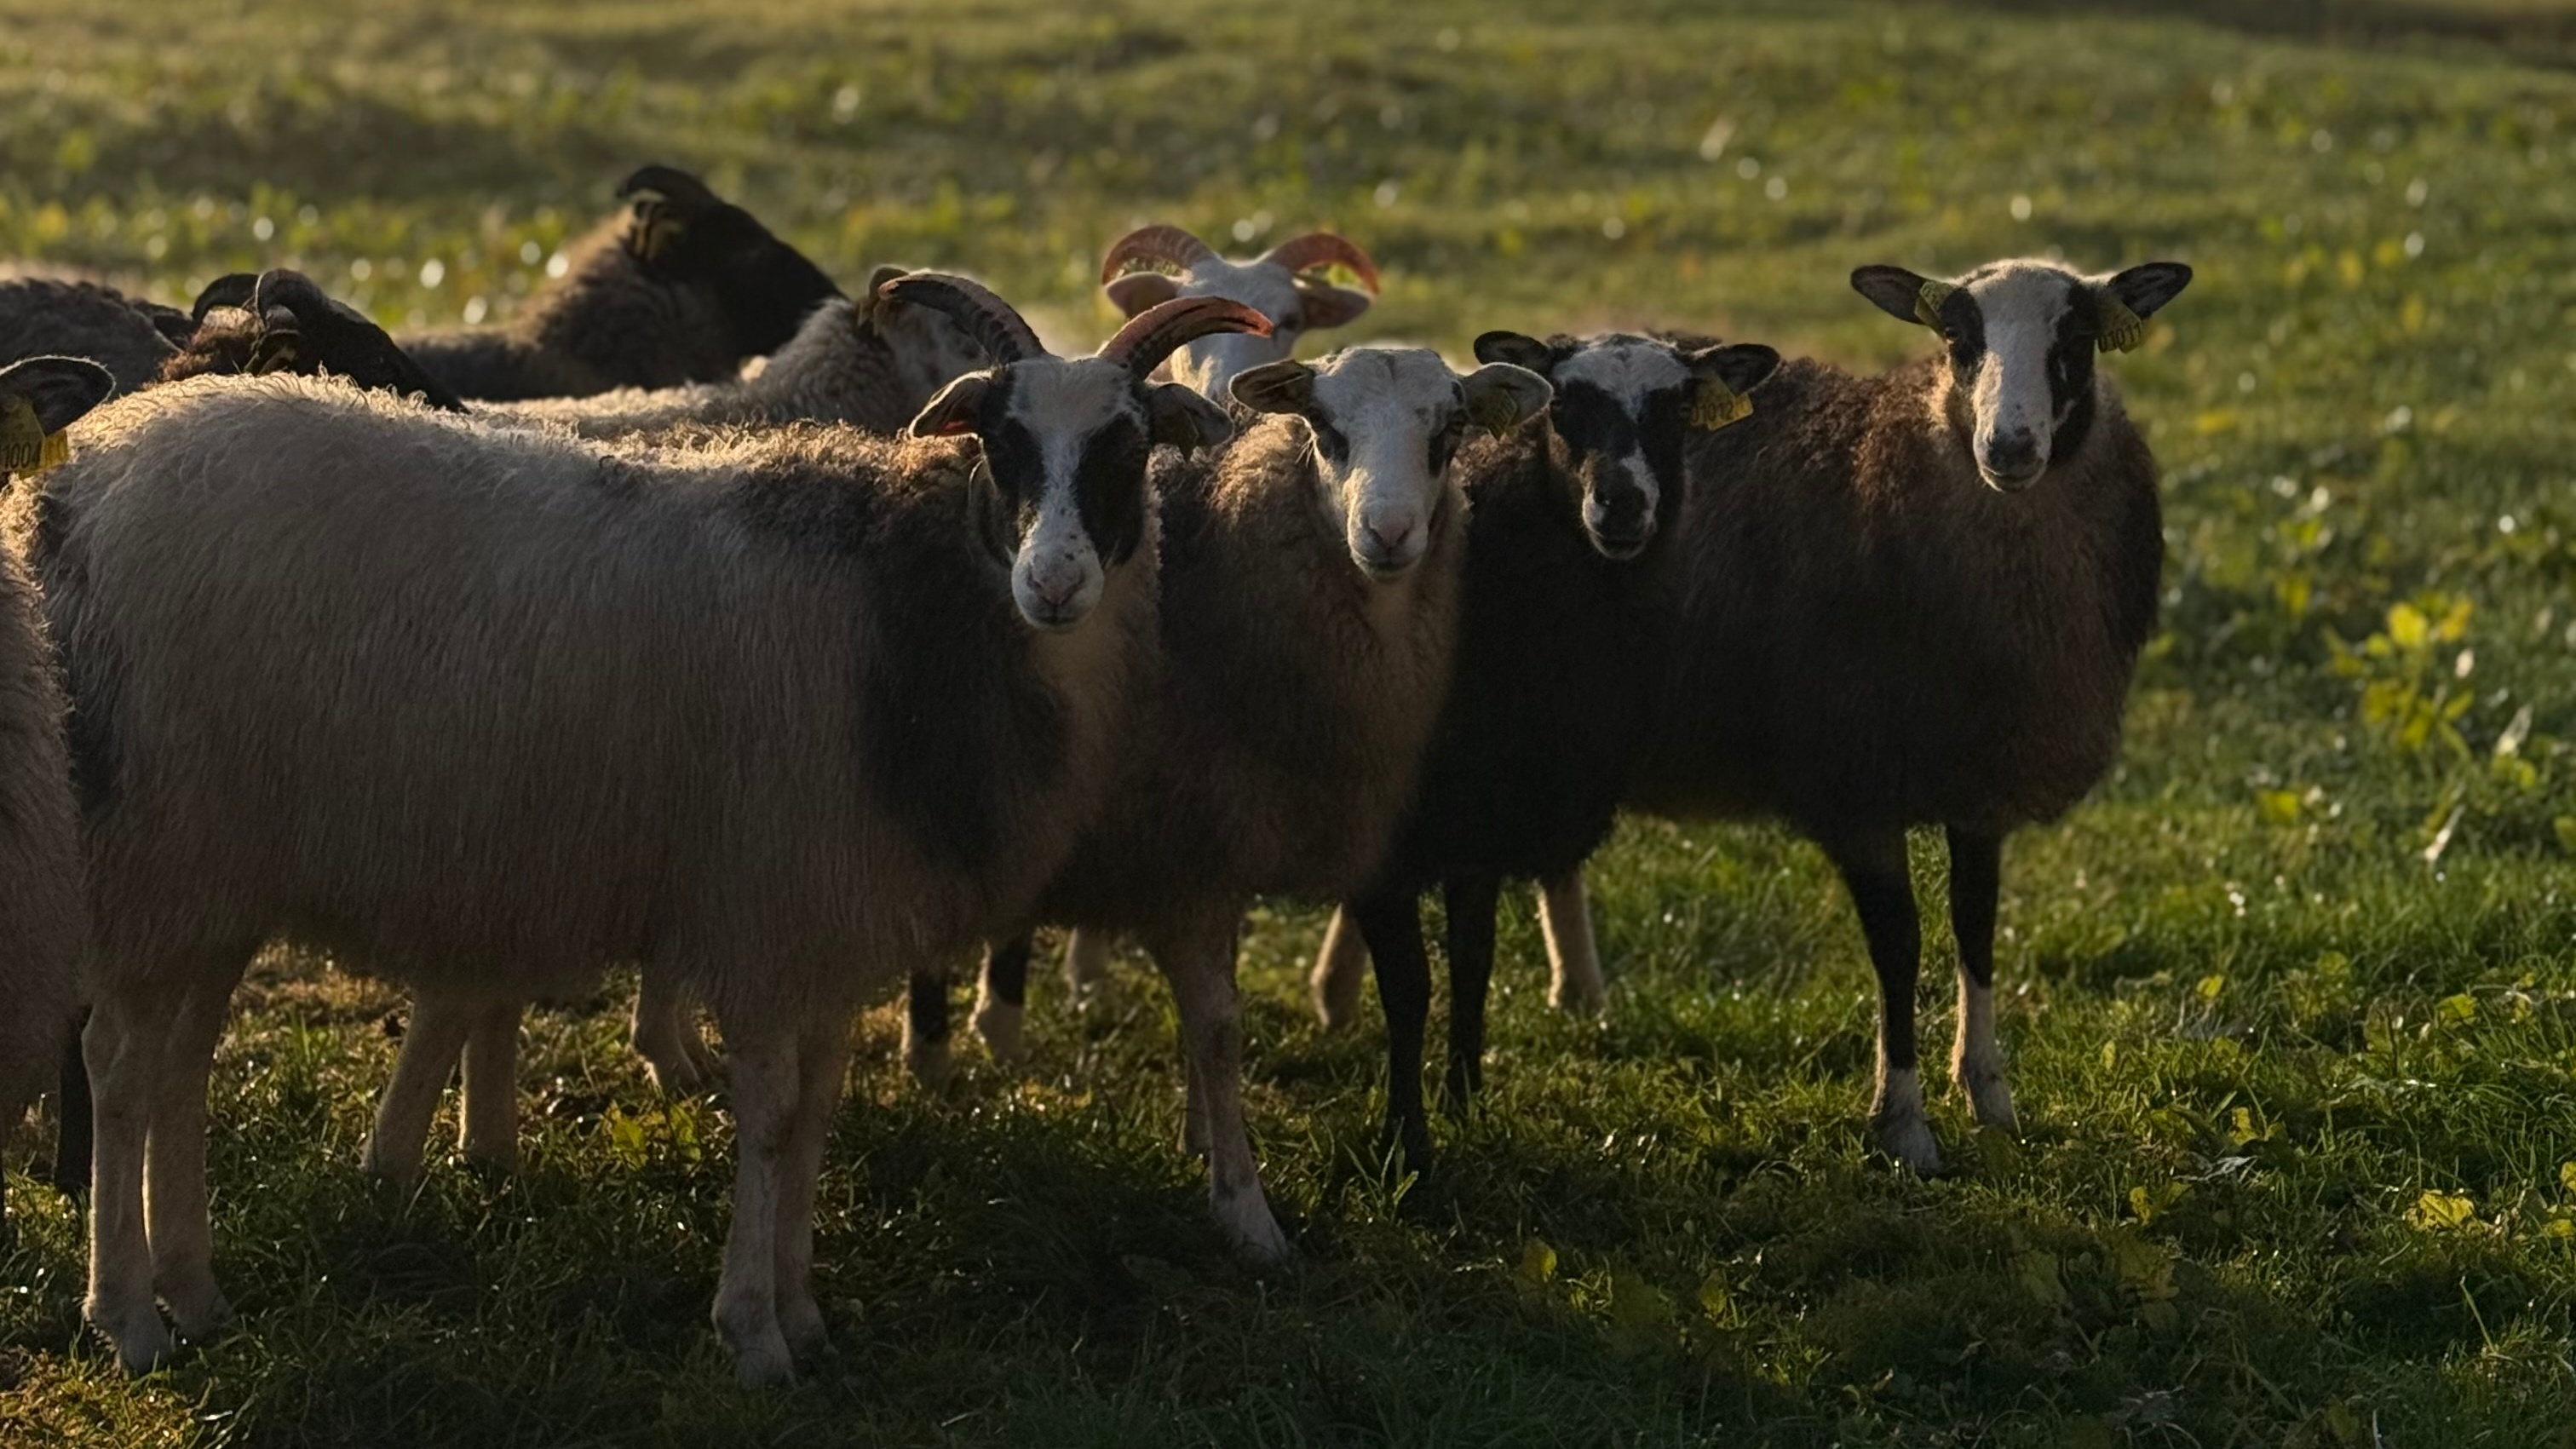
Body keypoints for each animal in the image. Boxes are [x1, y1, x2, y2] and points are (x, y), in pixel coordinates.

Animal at [39, 276, 1268, 1383]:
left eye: (1126, 450)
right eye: (1002, 445)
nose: (1053, 581)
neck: (902, 601)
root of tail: (87, 477)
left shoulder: (835, 919)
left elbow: (816, 1115)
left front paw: (805, 1315)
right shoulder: (772, 907)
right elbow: (769, 1119)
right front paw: (755, 1334)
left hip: (211, 868)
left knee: (179, 1066)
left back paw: (194, 1293)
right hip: (160, 846)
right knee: (120, 1069)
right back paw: (129, 1320)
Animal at [903, 343, 1553, 1253]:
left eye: (1451, 430)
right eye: (1325, 428)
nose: (1387, 534)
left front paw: (1206, 1139)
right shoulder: (1205, 850)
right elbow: (1240, 1018)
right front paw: (1262, 1202)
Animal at [1314, 330, 1781, 1170]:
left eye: (1677, 408)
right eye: (1563, 407)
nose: (1621, 502)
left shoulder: (1484, 826)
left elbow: (1473, 962)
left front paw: (1463, 1102)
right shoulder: (1392, 844)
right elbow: (1410, 987)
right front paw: (1406, 1143)